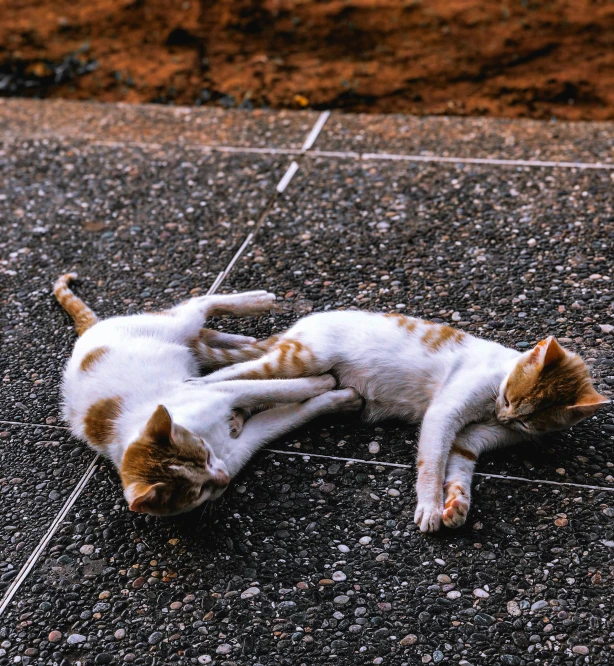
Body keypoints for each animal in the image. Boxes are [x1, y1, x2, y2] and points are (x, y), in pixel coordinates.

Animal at [55, 272, 364, 516]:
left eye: (204, 455)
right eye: (198, 491)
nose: (224, 479)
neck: (210, 438)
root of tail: (89, 332)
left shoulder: (219, 391)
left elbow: (273, 388)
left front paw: (321, 383)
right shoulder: (240, 448)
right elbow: (292, 414)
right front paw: (336, 398)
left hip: (177, 324)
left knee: (197, 305)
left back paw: (254, 303)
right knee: (202, 336)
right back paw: (238, 340)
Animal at [191, 308, 612, 532]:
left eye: (526, 422)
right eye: (509, 397)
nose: (504, 413)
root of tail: (303, 323)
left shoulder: (474, 438)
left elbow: (458, 467)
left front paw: (456, 505)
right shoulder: (445, 413)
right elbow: (432, 464)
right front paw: (429, 506)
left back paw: (237, 415)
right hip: (300, 359)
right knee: (236, 373)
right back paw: (202, 390)